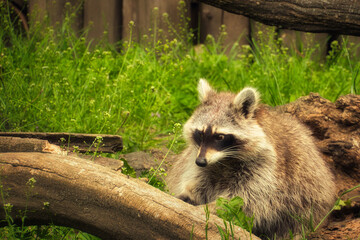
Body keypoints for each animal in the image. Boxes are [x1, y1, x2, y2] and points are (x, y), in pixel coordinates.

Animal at [167, 79, 336, 238]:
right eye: (200, 133)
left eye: (220, 136)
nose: (201, 162)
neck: (225, 159)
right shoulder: (200, 160)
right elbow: (199, 182)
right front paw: (188, 194)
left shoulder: (266, 168)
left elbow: (248, 199)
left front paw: (210, 208)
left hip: (309, 196)